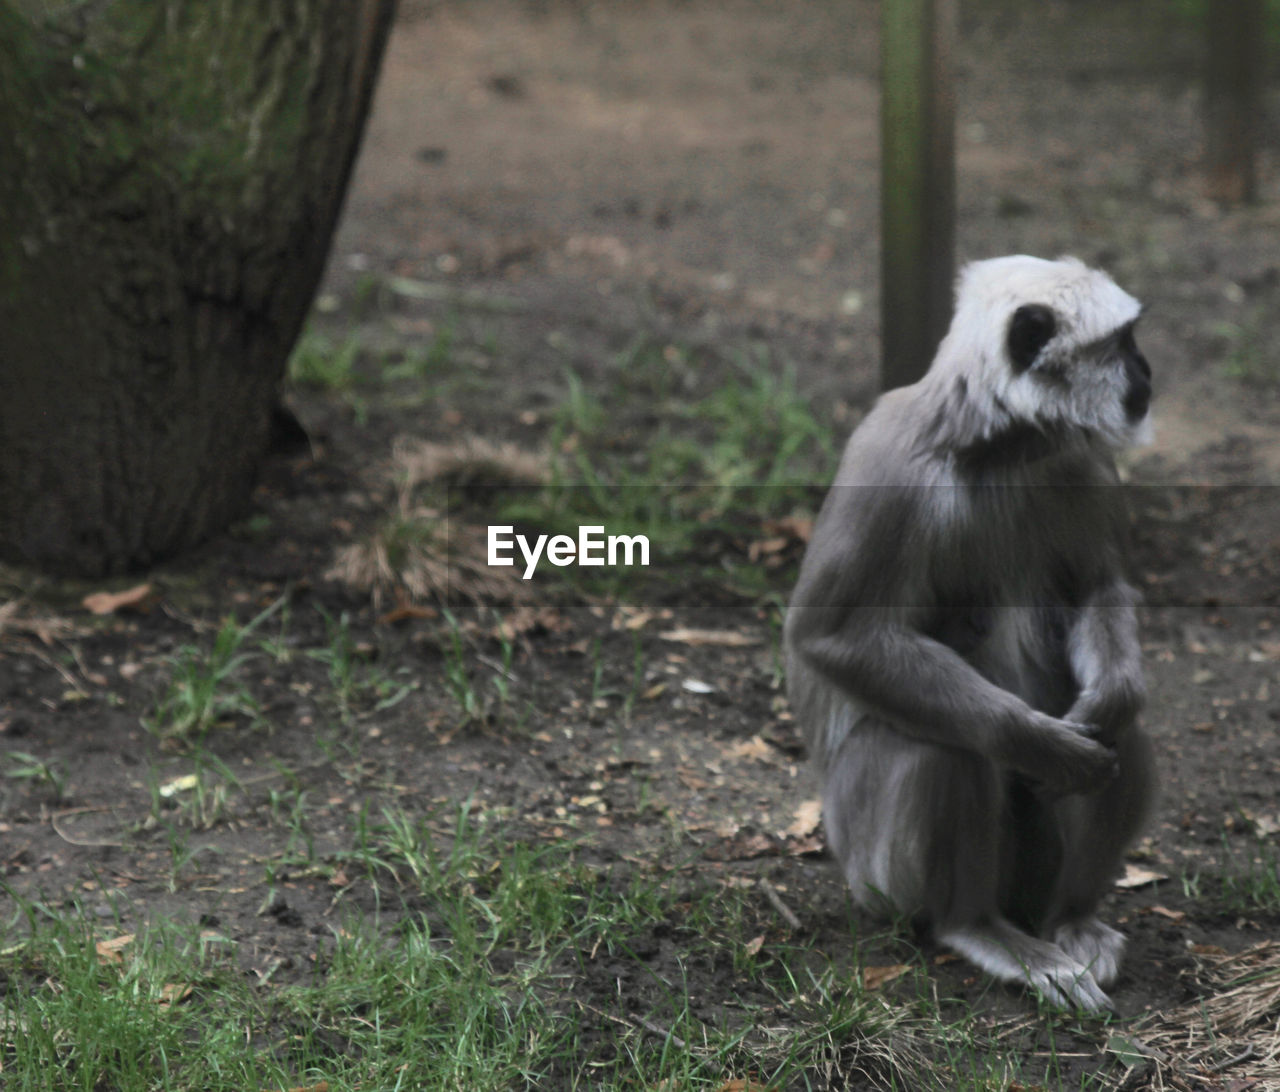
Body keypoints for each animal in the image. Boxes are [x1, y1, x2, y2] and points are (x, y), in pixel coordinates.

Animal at [783, 253, 1157, 1003]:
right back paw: (976, 927)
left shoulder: (1081, 463)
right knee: (943, 748)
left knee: (1120, 734)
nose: (1148, 371)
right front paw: (1037, 743)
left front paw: (1109, 699)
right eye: (1122, 345)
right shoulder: (887, 460)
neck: (994, 451)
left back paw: (1072, 918)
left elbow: (1100, 590)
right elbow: (831, 637)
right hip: (869, 867)